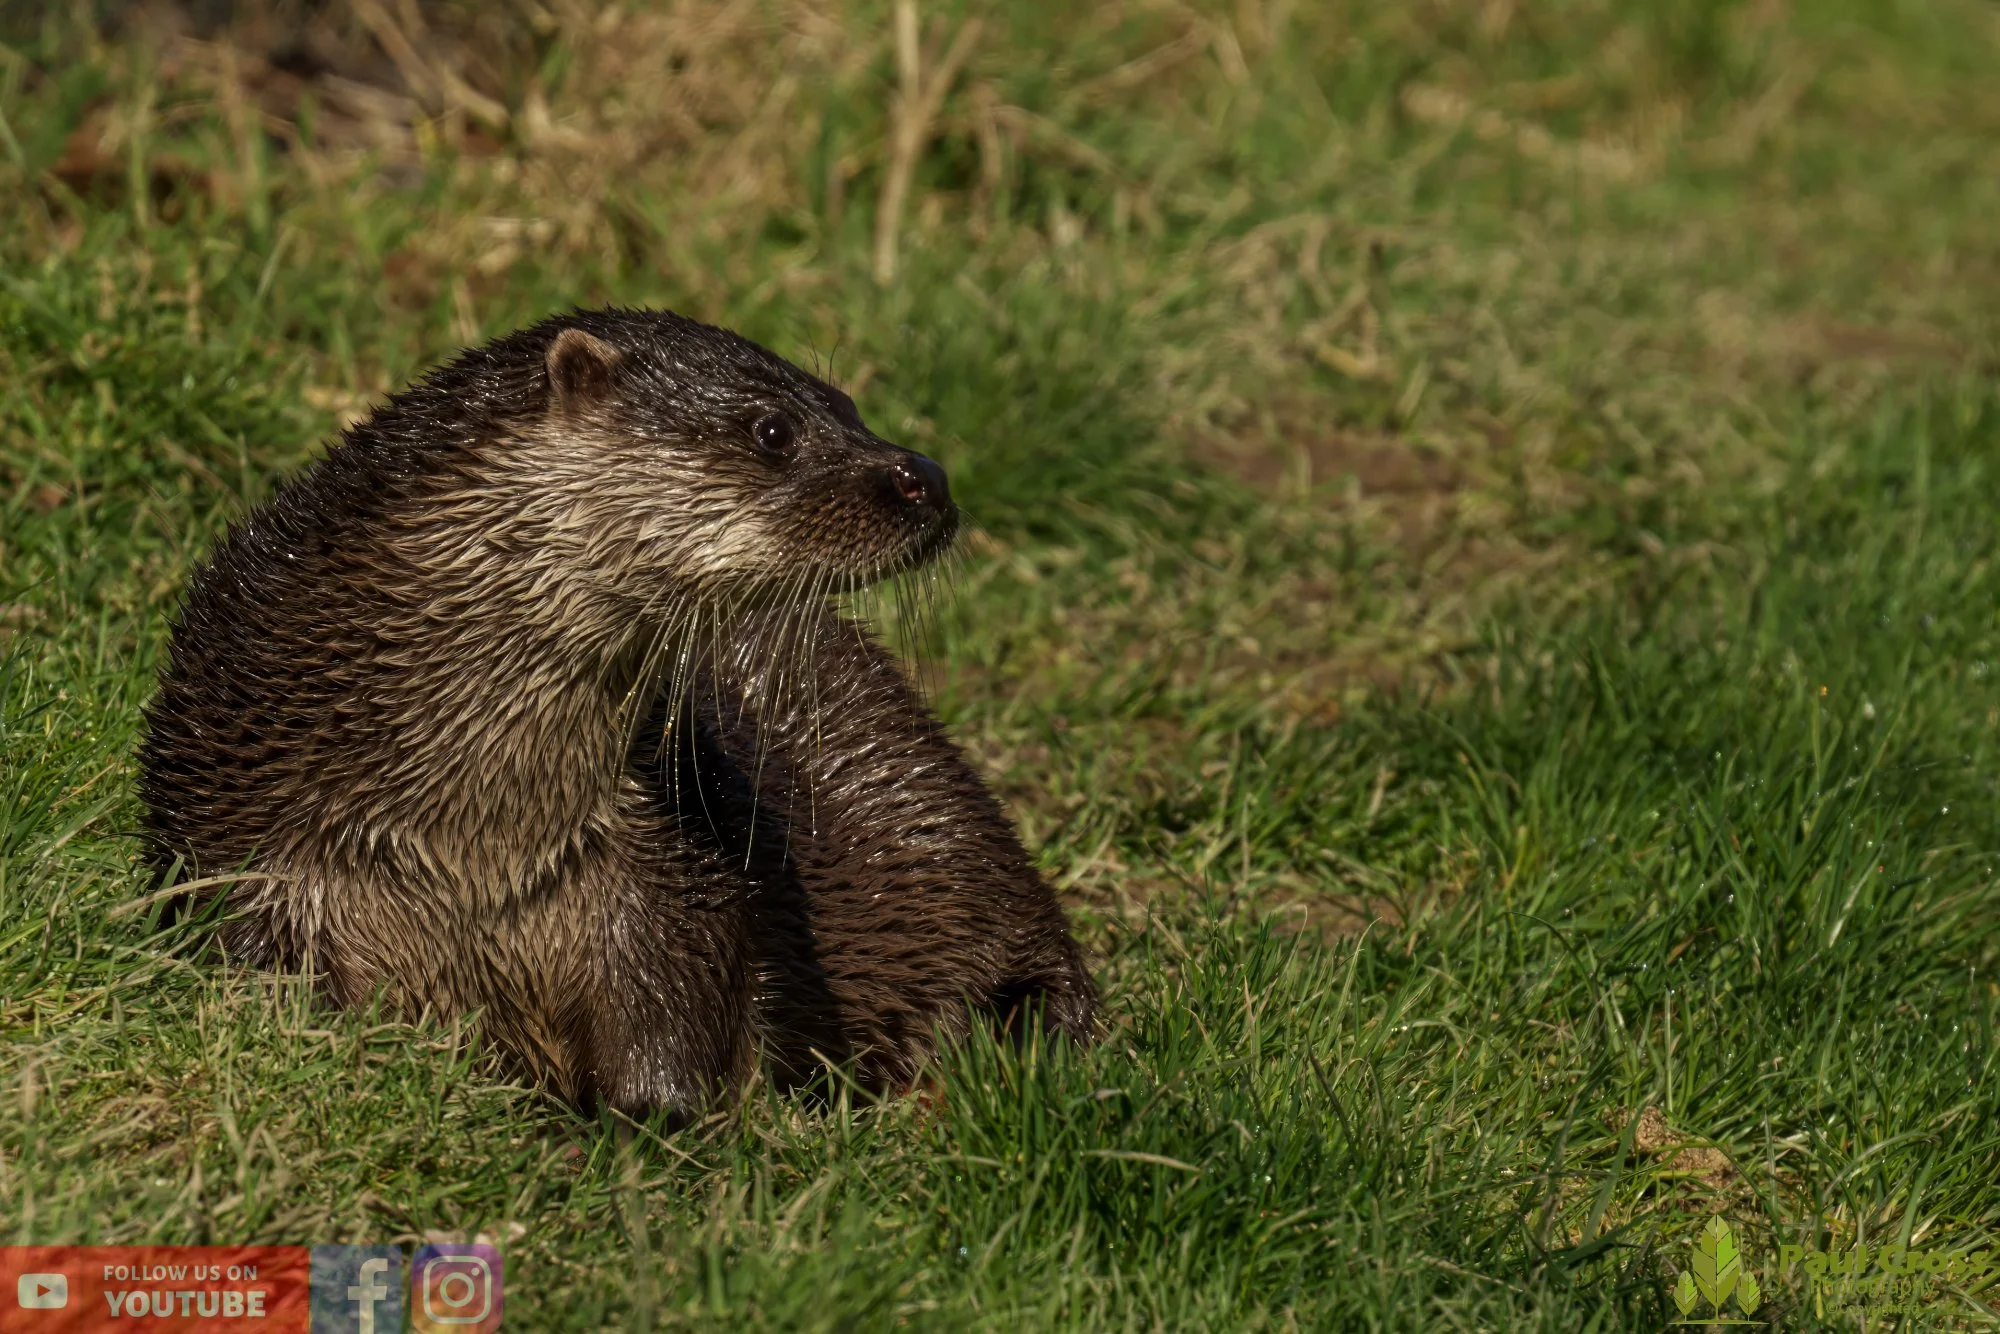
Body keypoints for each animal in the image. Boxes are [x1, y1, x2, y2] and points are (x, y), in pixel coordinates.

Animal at [137, 307, 1095, 1115]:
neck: (476, 853)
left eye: (850, 406)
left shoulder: (659, 866)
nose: (924, 475)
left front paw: (650, 1122)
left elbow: (675, 1004)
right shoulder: (245, 853)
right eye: (773, 430)